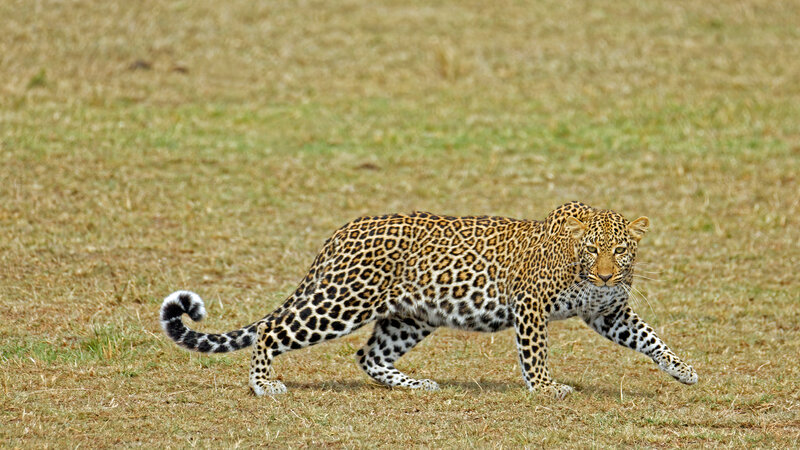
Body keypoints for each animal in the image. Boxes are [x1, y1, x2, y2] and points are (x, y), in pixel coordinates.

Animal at [160, 201, 698, 398]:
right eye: (592, 249)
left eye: (620, 250)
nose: (606, 274)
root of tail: (341, 231)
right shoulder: (531, 306)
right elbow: (535, 353)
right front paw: (546, 388)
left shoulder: (609, 313)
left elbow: (651, 337)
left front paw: (683, 370)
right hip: (342, 302)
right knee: (273, 330)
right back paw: (263, 386)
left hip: (410, 317)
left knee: (368, 355)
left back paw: (414, 384)